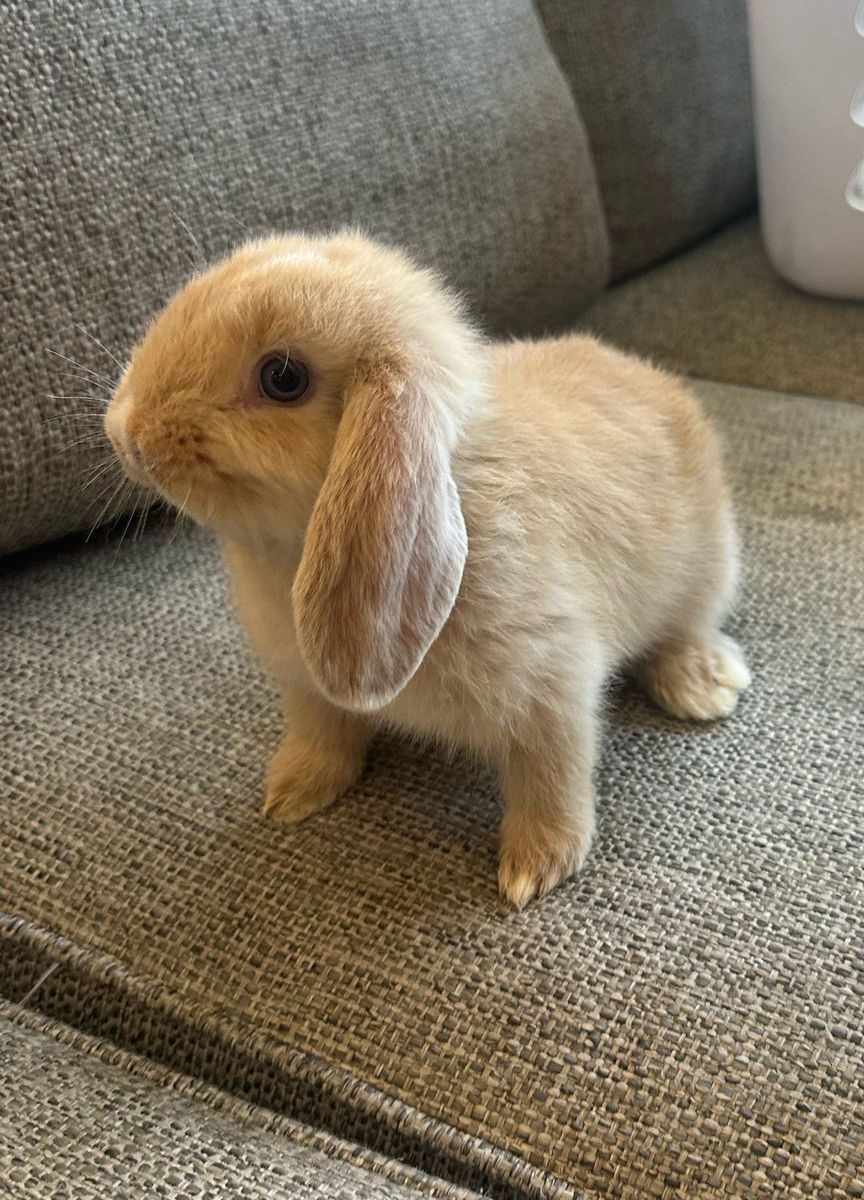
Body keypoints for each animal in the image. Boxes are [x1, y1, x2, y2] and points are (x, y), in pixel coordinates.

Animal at [104, 231, 750, 908]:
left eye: (283, 378)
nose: (126, 433)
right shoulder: (307, 692)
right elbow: (320, 735)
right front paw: (291, 795)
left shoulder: (554, 693)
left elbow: (552, 778)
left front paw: (534, 869)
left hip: (708, 569)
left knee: (689, 626)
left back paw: (703, 689)